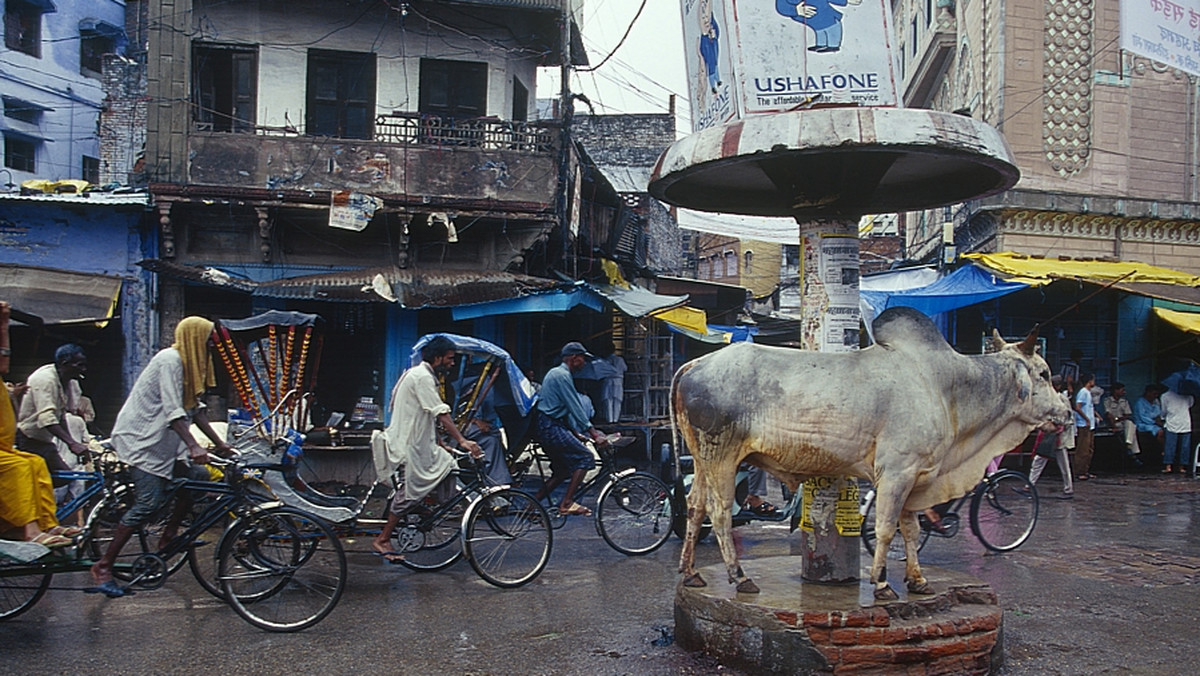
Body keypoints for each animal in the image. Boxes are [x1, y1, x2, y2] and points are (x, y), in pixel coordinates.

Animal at [672, 307, 1075, 597]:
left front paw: (917, 580)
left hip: (704, 459)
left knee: (694, 507)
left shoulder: (916, 478)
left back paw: (690, 572)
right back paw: (739, 577)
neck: (945, 386)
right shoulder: (897, 473)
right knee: (720, 513)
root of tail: (694, 364)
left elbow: (911, 530)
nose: (1068, 413)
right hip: (722, 455)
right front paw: (881, 583)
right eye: (1043, 372)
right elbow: (884, 529)